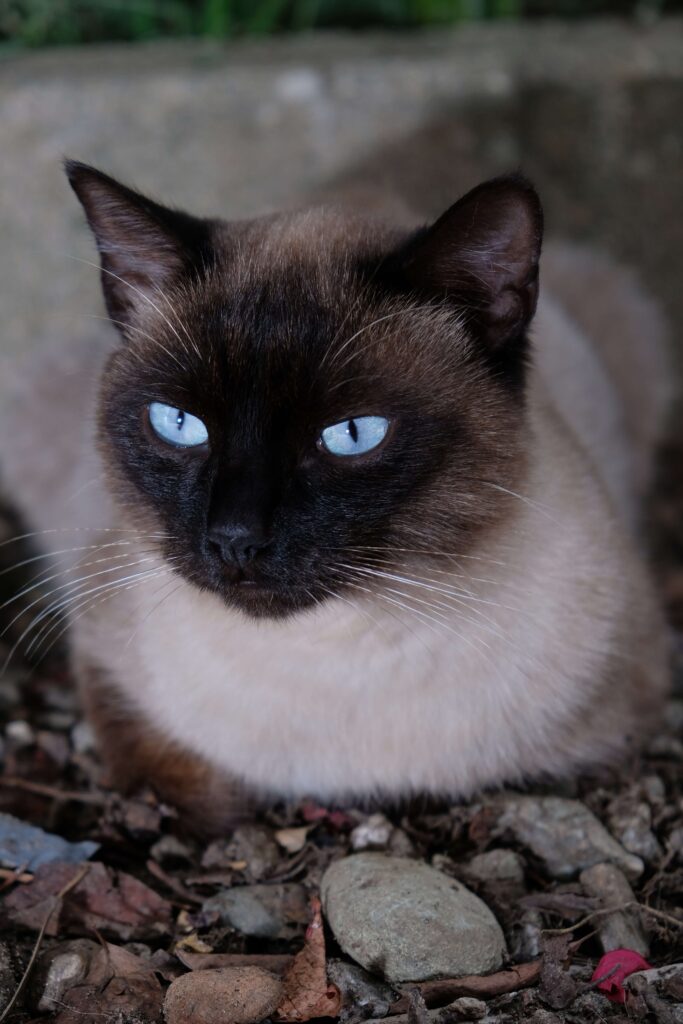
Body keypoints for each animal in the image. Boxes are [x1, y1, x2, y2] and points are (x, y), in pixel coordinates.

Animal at [0, 159, 671, 831]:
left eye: (350, 435)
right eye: (179, 424)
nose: (233, 539)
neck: (334, 647)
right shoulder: (101, 646)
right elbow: (172, 784)